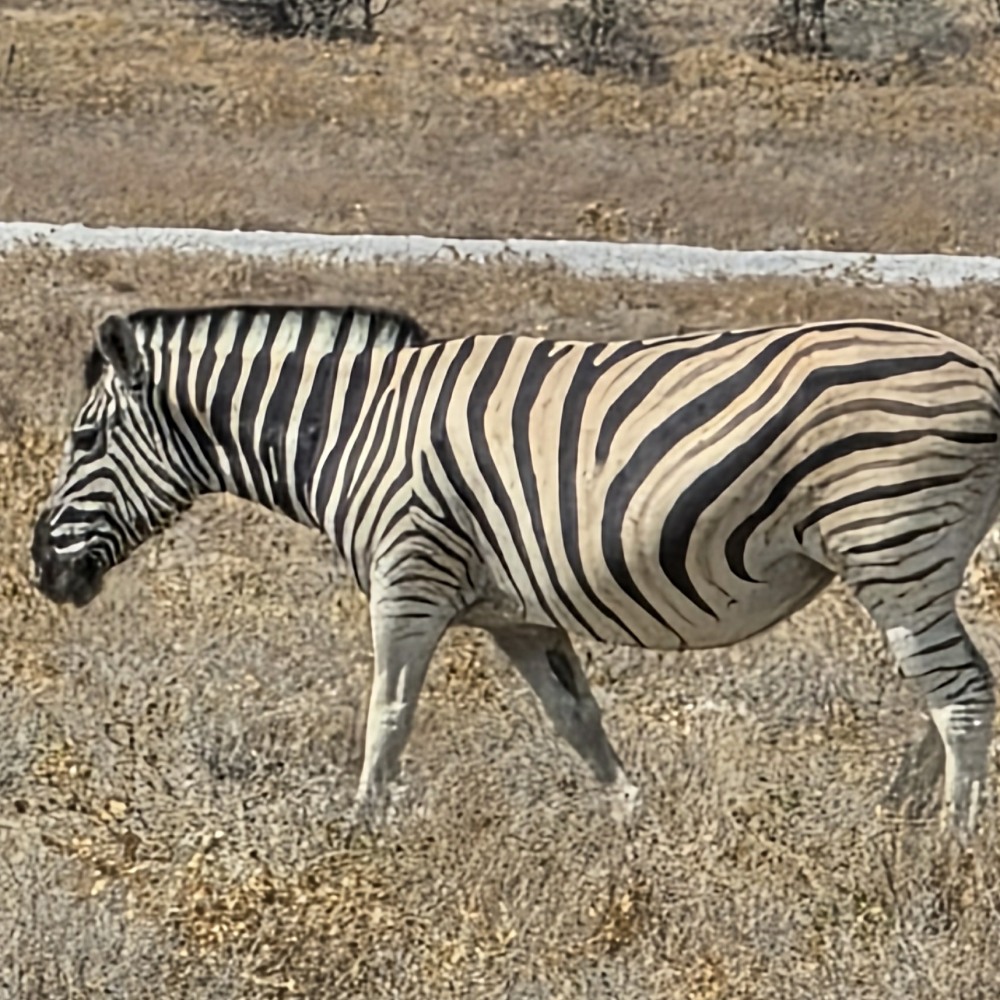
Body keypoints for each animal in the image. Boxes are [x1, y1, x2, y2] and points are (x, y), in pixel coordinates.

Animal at [30, 303, 1000, 838]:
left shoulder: (409, 575)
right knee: (950, 690)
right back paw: (898, 817)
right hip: (908, 567)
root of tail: (981, 368)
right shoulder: (519, 613)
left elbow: (388, 715)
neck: (352, 429)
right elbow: (577, 720)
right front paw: (630, 819)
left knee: (960, 693)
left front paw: (359, 830)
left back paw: (945, 850)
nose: (42, 568)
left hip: (893, 547)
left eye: (83, 438)